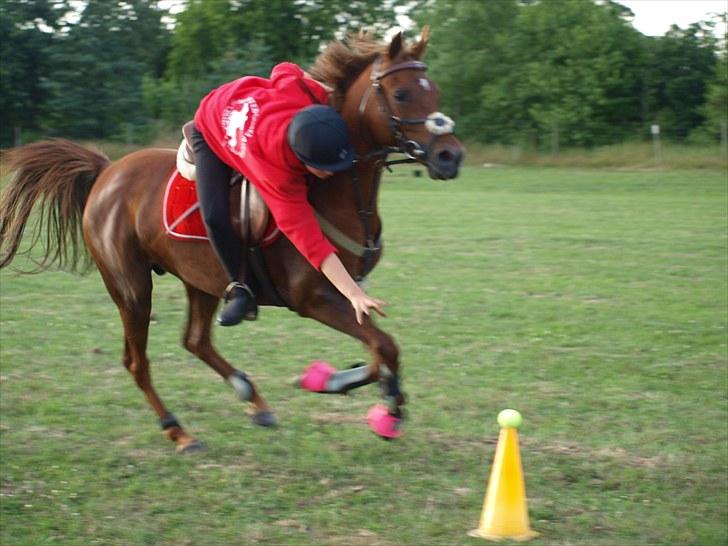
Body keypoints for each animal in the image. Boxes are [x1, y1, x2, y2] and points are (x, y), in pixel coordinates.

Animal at [0, 28, 464, 450]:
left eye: (436, 90)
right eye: (401, 94)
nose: (451, 156)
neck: (334, 187)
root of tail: (106, 172)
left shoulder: (346, 291)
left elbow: (379, 348)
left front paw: (346, 383)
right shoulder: (311, 297)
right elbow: (385, 345)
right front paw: (377, 402)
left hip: (200, 278)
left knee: (195, 340)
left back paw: (251, 396)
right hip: (131, 286)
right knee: (137, 360)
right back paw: (179, 431)